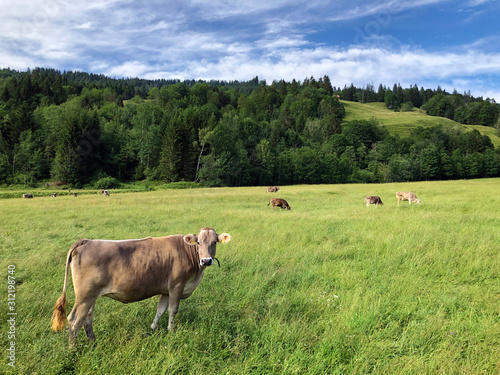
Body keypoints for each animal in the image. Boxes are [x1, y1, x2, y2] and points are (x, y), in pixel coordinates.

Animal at [51, 228, 232, 348]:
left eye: (214, 242)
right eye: (199, 242)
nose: (206, 260)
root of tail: (86, 241)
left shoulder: (166, 290)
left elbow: (161, 309)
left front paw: (152, 328)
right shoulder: (177, 286)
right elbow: (173, 310)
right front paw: (171, 331)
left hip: (90, 296)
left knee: (87, 318)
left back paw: (93, 342)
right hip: (85, 296)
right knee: (74, 320)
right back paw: (73, 350)